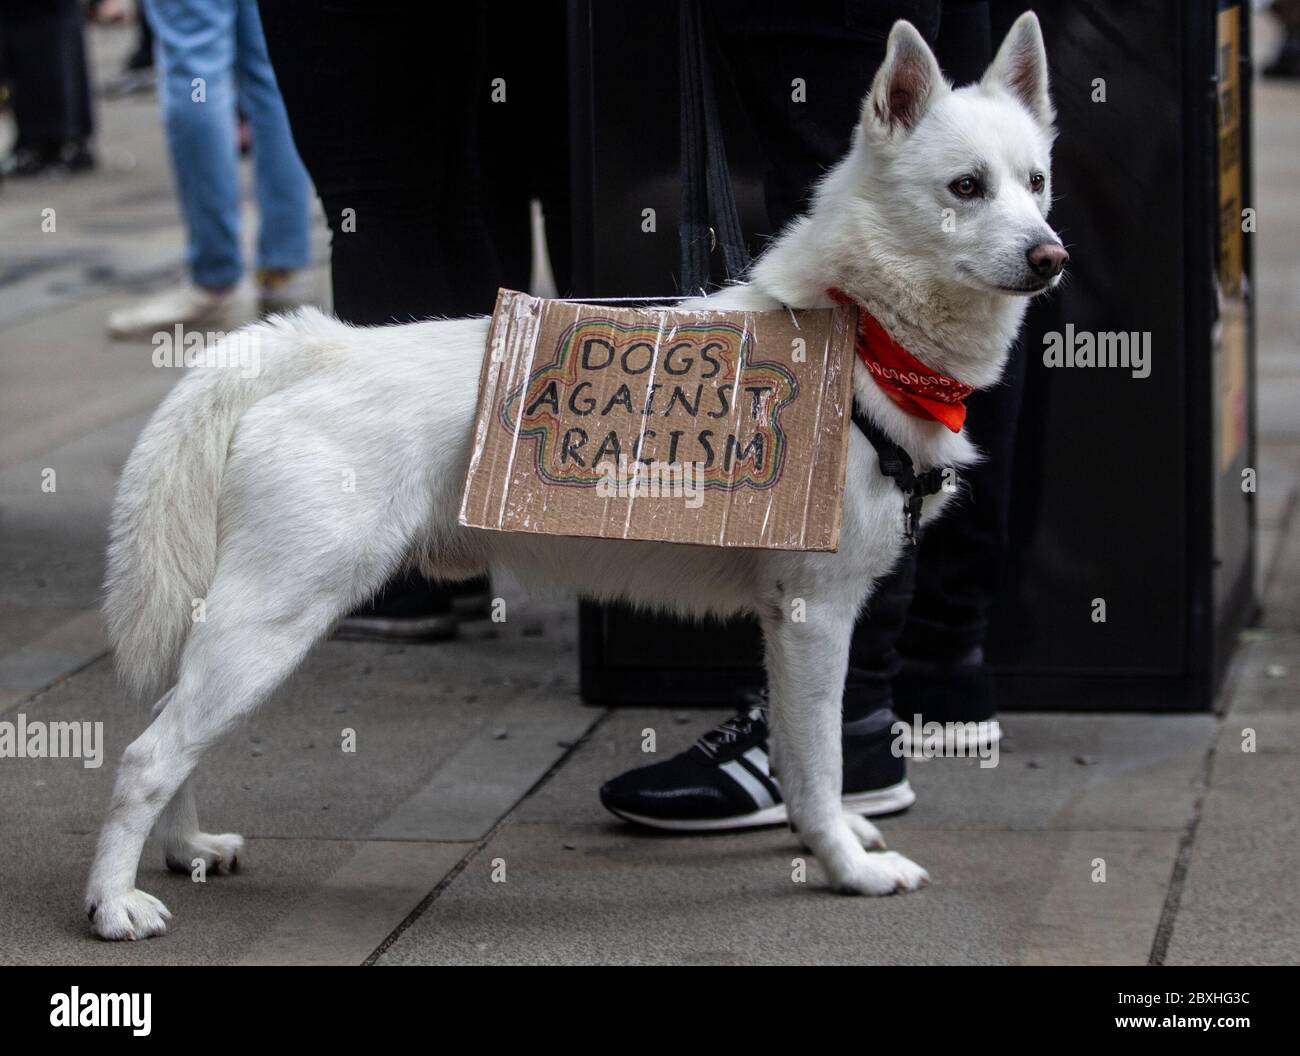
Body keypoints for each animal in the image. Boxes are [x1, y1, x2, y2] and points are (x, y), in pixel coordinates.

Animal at [89, 16, 1066, 941]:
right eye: (966, 187)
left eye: (1038, 182)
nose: (1052, 257)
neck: (865, 338)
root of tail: (313, 348)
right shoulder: (814, 615)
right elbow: (817, 766)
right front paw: (846, 868)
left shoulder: (797, 619)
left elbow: (800, 756)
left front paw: (836, 840)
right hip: (271, 622)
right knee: (145, 757)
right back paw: (112, 905)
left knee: (168, 738)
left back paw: (184, 849)